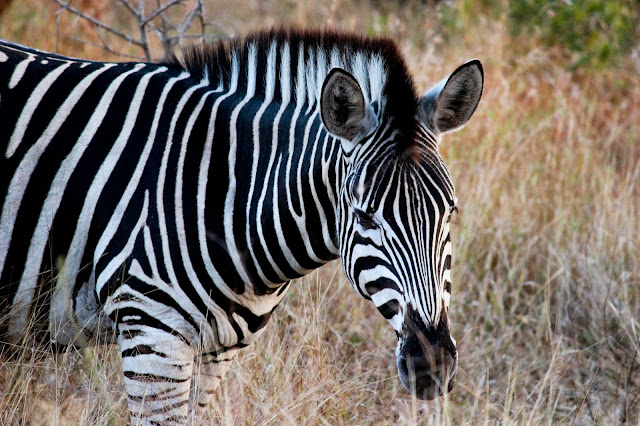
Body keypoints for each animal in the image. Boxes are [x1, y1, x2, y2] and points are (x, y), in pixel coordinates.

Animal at [0, 29, 480, 422]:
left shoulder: (216, 352)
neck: (220, 190)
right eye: (365, 216)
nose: (432, 366)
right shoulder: (150, 337)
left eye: (450, 213)